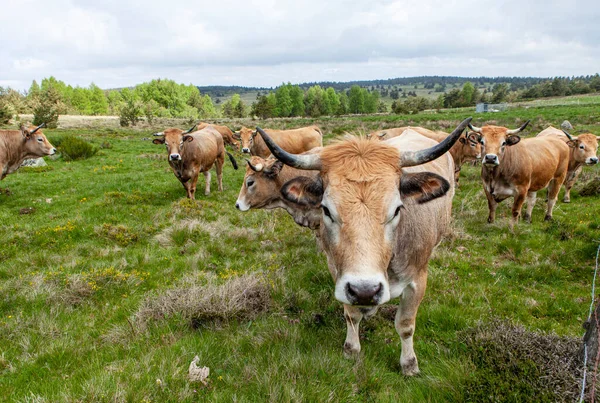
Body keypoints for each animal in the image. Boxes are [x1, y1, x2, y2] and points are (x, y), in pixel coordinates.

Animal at [253, 118, 474, 378]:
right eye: (326, 210)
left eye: (397, 209)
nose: (365, 291)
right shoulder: (339, 274)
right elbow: (351, 315)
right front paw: (351, 348)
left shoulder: (418, 280)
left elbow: (405, 325)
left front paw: (409, 364)